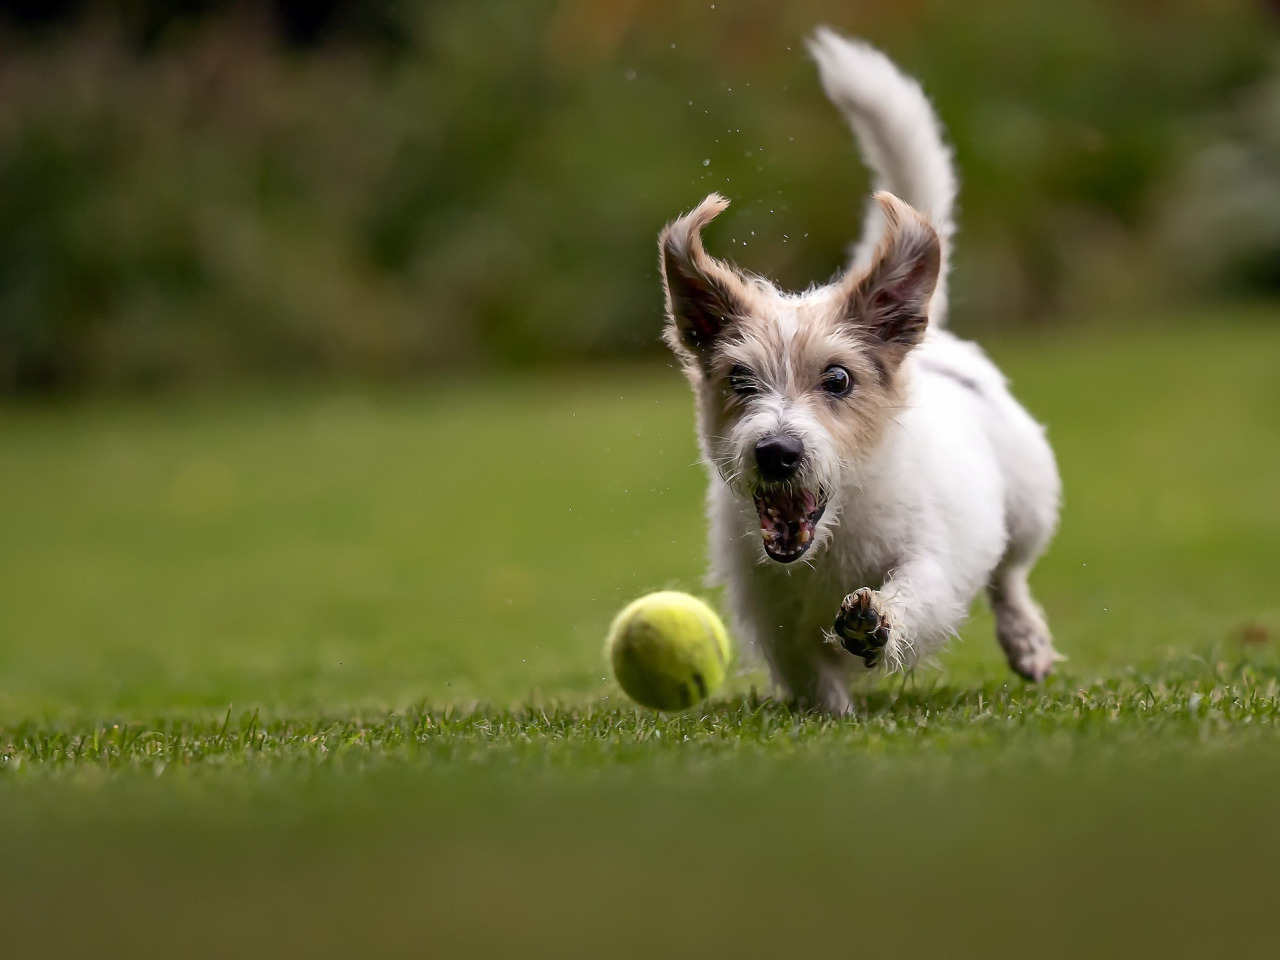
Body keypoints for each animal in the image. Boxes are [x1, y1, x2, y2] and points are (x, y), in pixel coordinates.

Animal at [655, 28, 1064, 716]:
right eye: (740, 381)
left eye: (839, 380)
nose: (776, 452)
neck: (836, 530)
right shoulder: (772, 613)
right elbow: (812, 676)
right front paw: (835, 721)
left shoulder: (933, 557)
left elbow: (917, 593)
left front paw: (879, 622)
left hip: (1030, 505)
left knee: (1010, 576)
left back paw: (1026, 638)